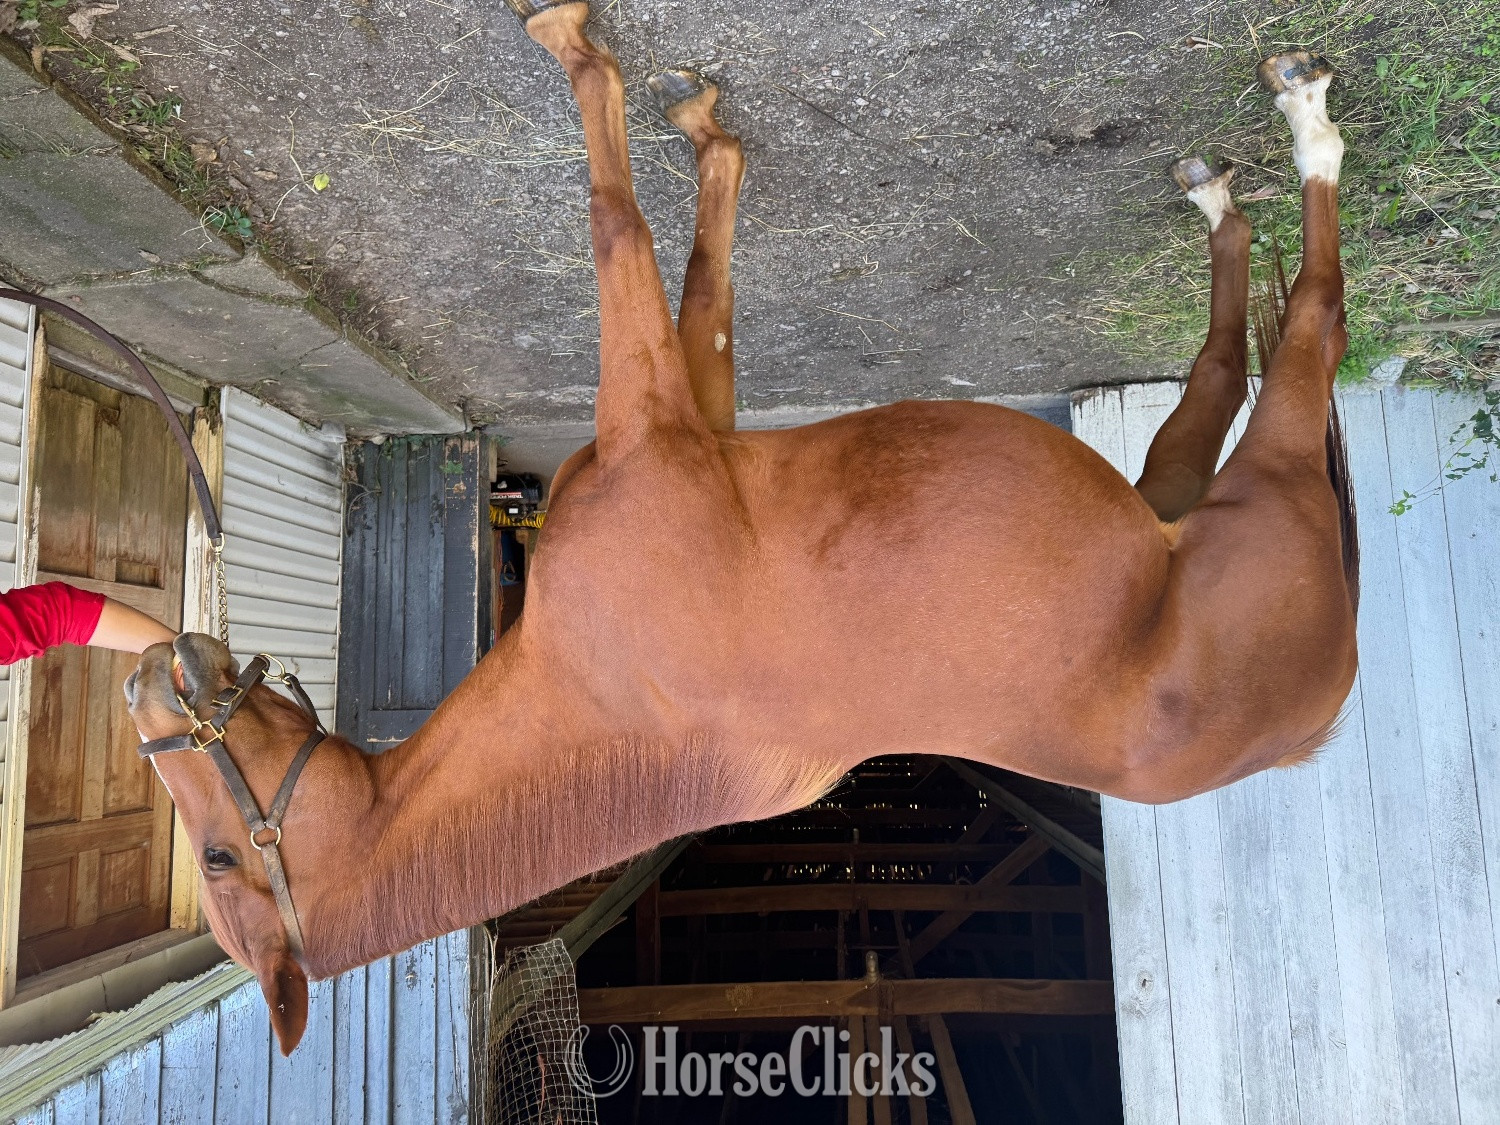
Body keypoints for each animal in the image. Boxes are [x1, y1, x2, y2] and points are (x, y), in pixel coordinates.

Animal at [124, 1, 1358, 1054]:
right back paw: (1256, 162)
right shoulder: (682, 420)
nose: (146, 684)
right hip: (1190, 490)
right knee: (1247, 353)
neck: (606, 695)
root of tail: (1318, 707)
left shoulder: (673, 417)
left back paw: (1293, 130)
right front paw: (667, 106)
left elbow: (632, 228)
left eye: (219, 856)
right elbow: (661, 253)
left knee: (1308, 321)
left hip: (1247, 474)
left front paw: (641, 90)